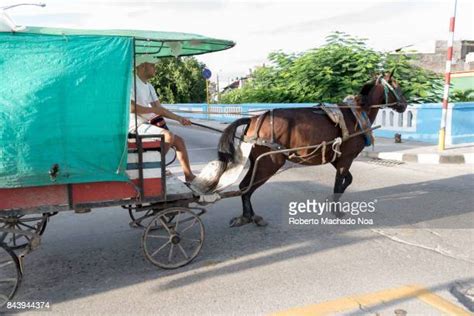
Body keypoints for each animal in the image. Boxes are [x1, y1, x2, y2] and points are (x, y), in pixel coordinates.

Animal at [218, 74, 408, 227]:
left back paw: (249, 216)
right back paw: (248, 216)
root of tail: (254, 119)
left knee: (244, 186)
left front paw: (332, 201)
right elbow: (339, 183)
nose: (404, 105)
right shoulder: (346, 158)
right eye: (397, 87)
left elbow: (348, 180)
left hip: (258, 162)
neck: (357, 113)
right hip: (269, 163)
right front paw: (336, 209)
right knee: (247, 188)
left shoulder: (337, 158)